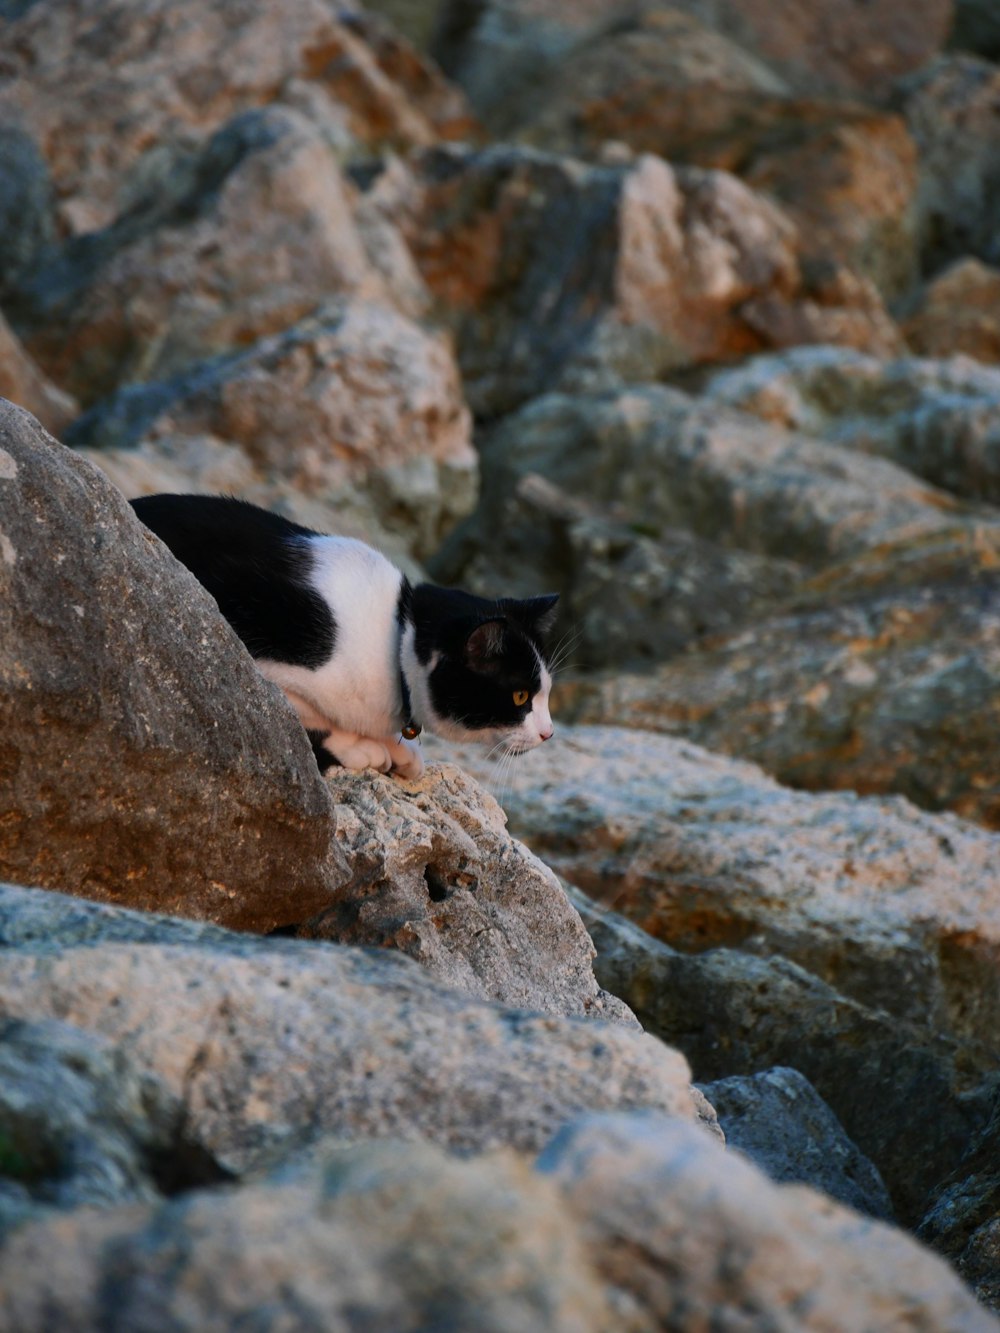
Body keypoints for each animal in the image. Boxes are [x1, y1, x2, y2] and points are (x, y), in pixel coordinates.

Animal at [130, 493, 560, 778]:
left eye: (545, 694)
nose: (549, 733)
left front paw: (397, 747)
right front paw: (357, 746)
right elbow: (293, 713)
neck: (395, 634)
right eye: (520, 696)